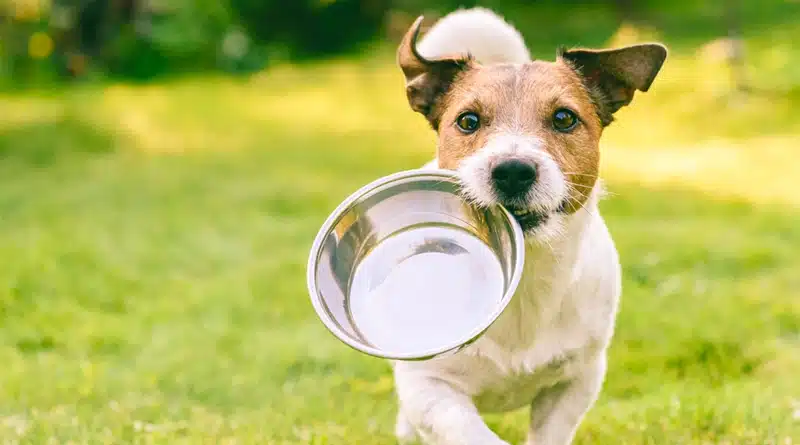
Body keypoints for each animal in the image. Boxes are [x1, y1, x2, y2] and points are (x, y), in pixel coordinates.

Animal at [390, 7, 664, 444]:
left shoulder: (576, 381)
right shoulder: (429, 385)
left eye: (565, 118)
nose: (513, 171)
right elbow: (467, 429)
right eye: (468, 121)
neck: (526, 275)